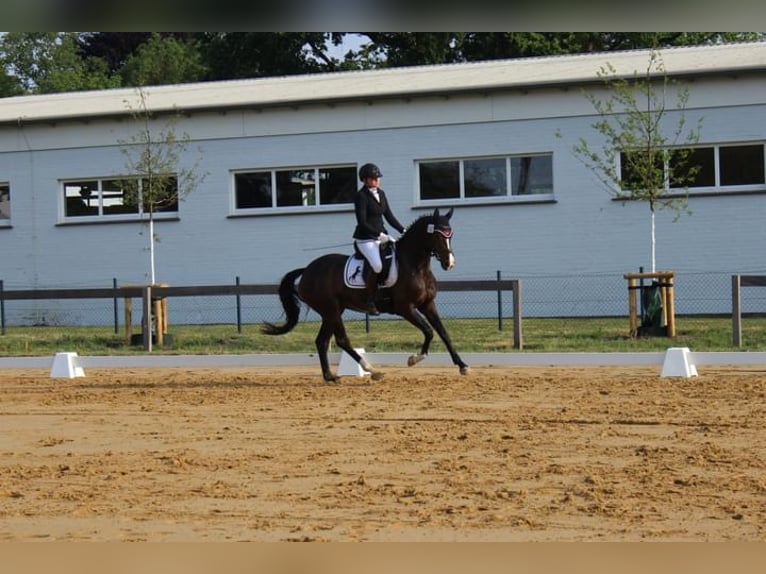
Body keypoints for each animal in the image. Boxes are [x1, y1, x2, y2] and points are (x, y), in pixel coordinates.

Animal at [262, 207, 468, 382]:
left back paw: (333, 376)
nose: (449, 263)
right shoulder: (405, 308)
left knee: (324, 341)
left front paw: (462, 365)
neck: (415, 266)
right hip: (331, 310)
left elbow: (443, 333)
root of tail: (307, 270)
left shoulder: (428, 304)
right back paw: (369, 371)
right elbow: (428, 331)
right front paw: (415, 358)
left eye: (451, 235)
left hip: (333, 311)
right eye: (437, 235)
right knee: (339, 340)